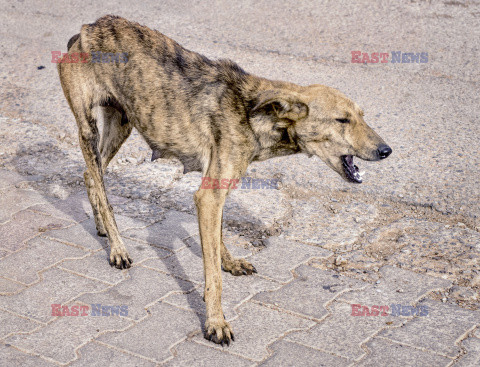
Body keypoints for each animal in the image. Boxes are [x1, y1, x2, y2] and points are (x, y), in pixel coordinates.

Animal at [58, 14, 392, 346]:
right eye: (342, 120)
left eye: (362, 116)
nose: (386, 150)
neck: (254, 112)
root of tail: (87, 29)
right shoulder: (209, 197)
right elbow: (213, 278)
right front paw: (216, 322)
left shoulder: (217, 192)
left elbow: (218, 239)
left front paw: (228, 262)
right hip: (88, 128)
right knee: (100, 185)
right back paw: (118, 248)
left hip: (121, 125)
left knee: (91, 175)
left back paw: (102, 227)